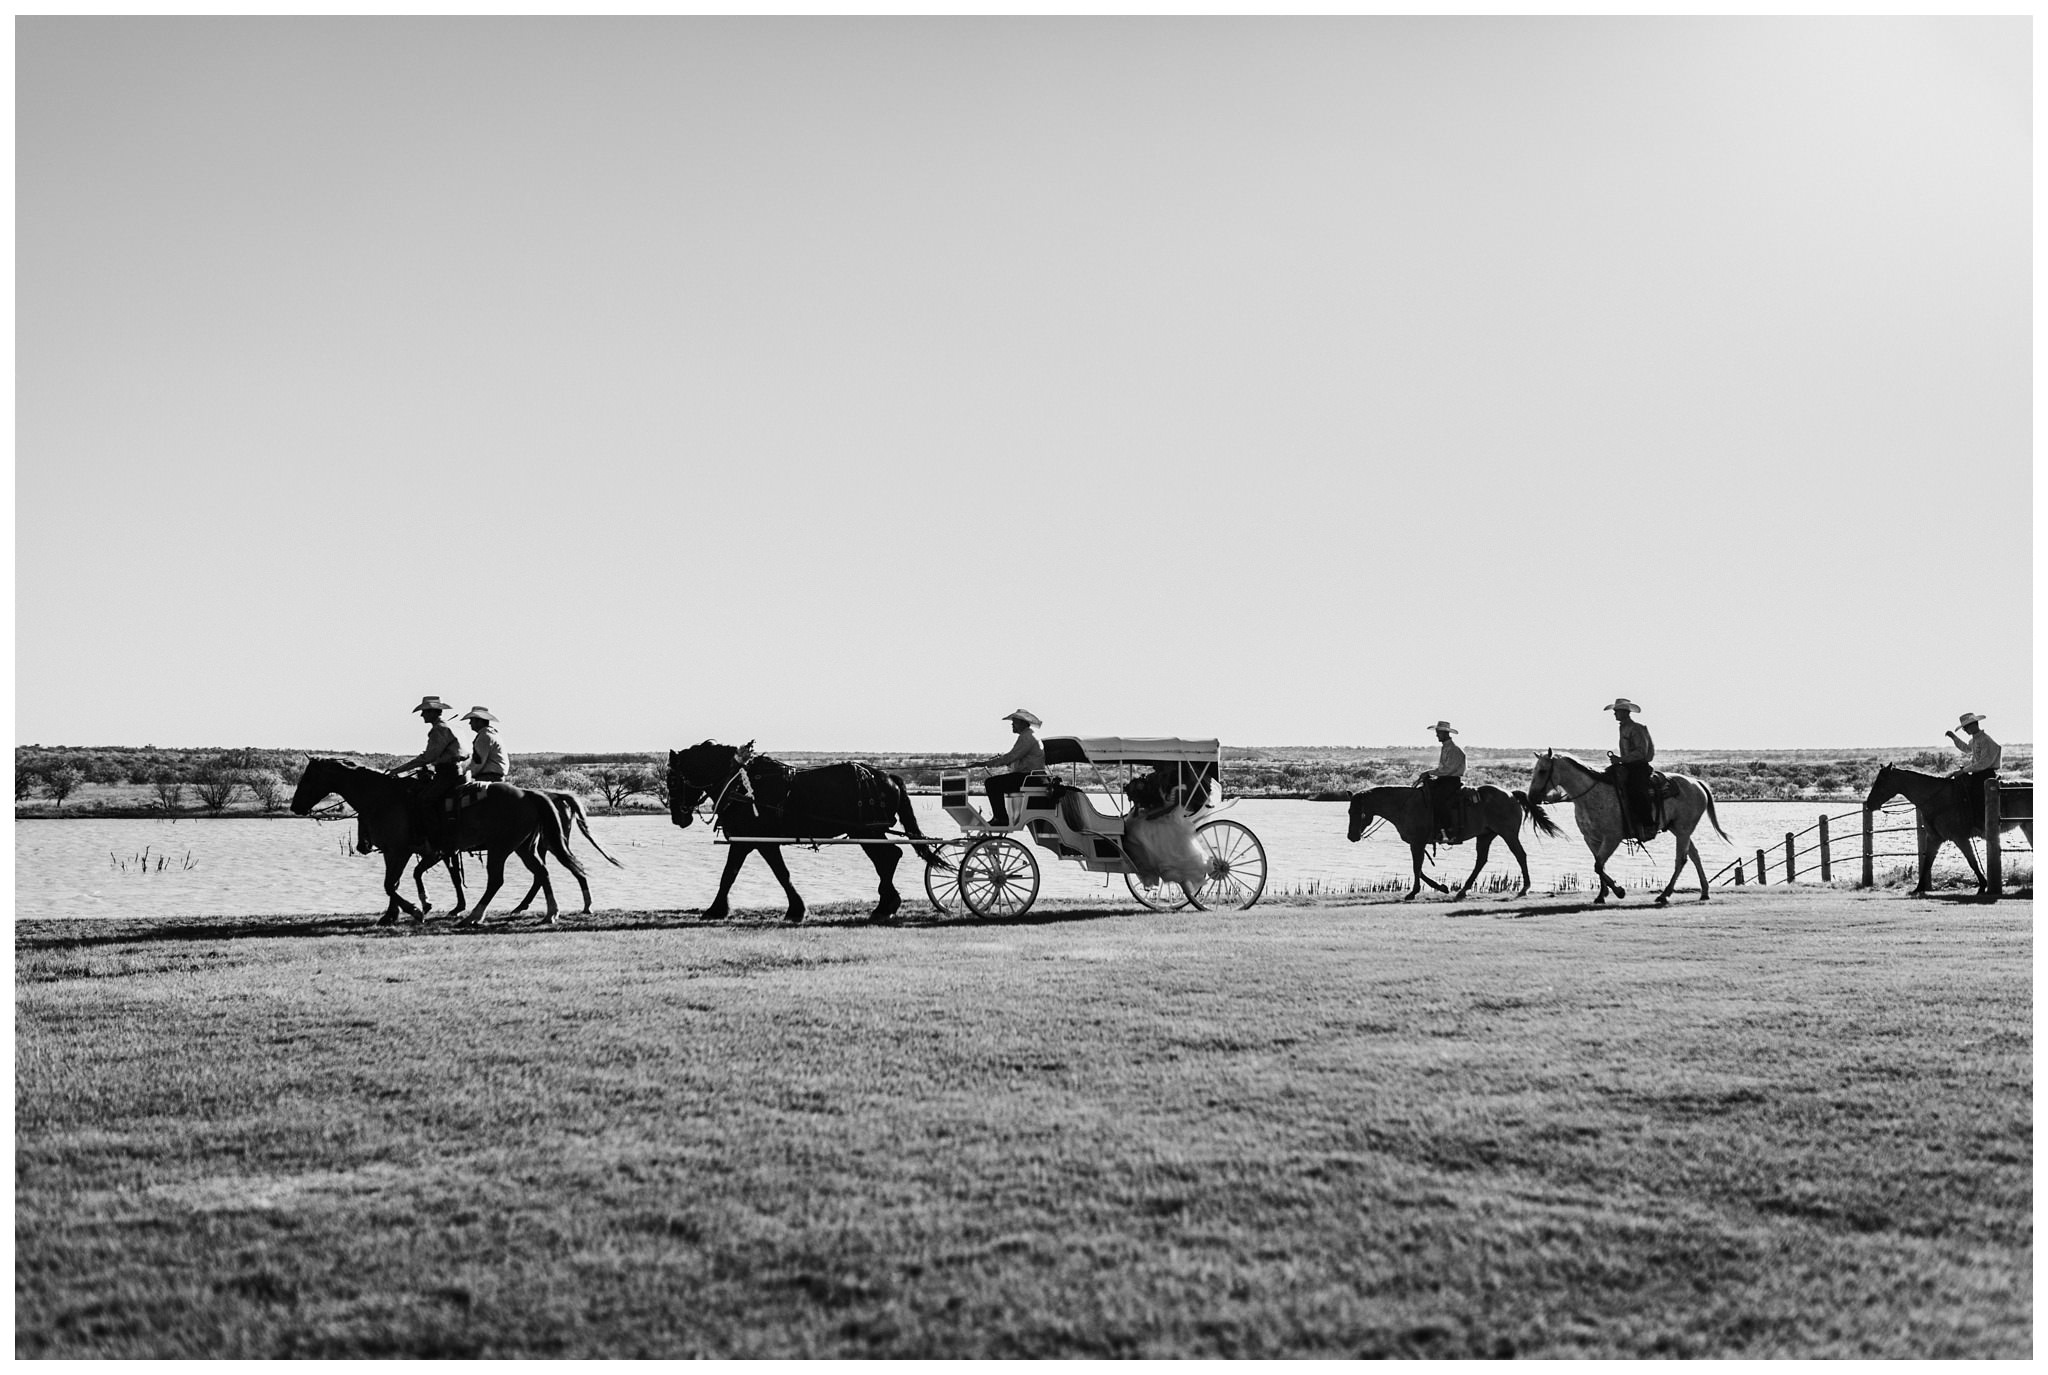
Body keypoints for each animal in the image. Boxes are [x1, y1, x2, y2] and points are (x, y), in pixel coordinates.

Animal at [284, 758, 585, 930]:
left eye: (309, 777)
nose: (295, 806)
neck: (385, 798)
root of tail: (529, 793)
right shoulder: (402, 852)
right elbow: (396, 882)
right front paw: (395, 914)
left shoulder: (401, 851)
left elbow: (391, 884)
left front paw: (417, 910)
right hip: (523, 847)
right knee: (542, 872)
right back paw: (550, 913)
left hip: (500, 849)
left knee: (497, 881)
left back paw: (473, 916)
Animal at [671, 741, 950, 926]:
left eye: (673, 779)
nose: (678, 817)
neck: (738, 782)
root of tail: (888, 776)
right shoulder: (751, 842)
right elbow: (739, 874)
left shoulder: (755, 841)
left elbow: (743, 874)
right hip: (871, 833)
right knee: (889, 858)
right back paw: (886, 904)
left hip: (868, 832)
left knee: (889, 858)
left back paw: (885, 905)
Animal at [1351, 786, 1556, 901]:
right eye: (1348, 811)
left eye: (1359, 812)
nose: (1351, 836)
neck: (1405, 805)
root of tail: (1511, 794)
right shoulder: (1417, 844)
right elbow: (1419, 868)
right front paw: (1441, 887)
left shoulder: (1417, 842)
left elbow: (1417, 867)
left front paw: (1413, 892)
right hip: (1485, 836)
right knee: (1481, 860)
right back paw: (1463, 890)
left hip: (1508, 834)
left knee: (1520, 855)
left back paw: (1524, 888)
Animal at [1523, 754, 1728, 901]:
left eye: (1542, 771)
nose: (1531, 797)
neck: (1591, 794)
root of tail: (1697, 783)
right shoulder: (1591, 839)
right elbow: (1599, 865)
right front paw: (1602, 895)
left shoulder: (1612, 838)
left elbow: (1598, 865)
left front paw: (1619, 891)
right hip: (1679, 830)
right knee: (1694, 855)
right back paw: (1704, 892)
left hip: (1684, 830)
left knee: (1681, 859)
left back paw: (1665, 895)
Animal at [1875, 758, 2031, 897]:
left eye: (1881, 781)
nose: (1871, 803)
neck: (1938, 799)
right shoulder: (1934, 838)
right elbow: (1927, 862)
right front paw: (1918, 888)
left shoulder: (1959, 837)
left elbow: (1972, 861)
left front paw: (1982, 886)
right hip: (2027, 826)